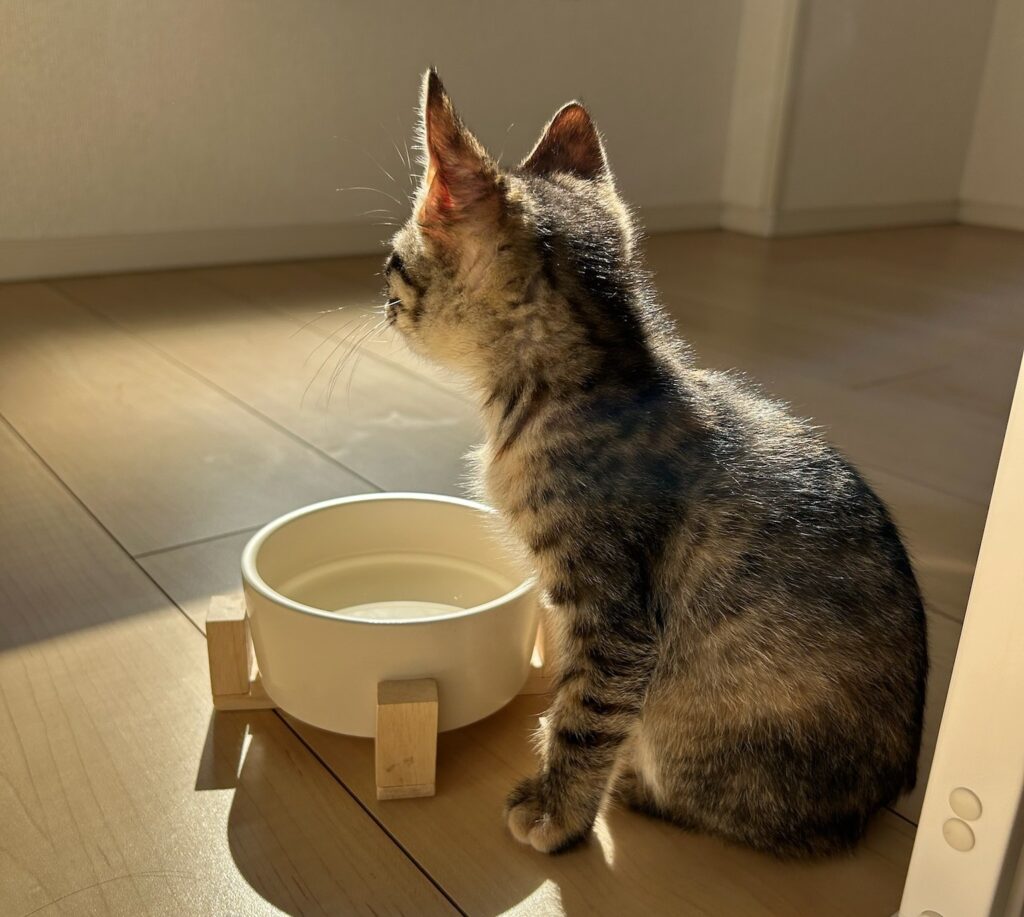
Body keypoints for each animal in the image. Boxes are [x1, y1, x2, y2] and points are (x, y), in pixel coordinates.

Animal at [383, 69, 928, 858]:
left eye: (394, 263)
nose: (381, 300)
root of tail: (886, 800)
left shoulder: (614, 615)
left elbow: (584, 713)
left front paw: (557, 812)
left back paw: (640, 789)